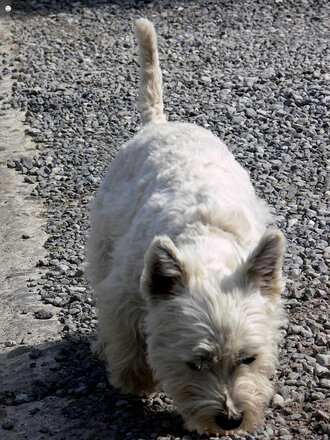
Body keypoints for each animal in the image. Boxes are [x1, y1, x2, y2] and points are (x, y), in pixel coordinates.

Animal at [86, 18, 284, 434]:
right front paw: (133, 378)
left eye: (249, 358)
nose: (231, 419)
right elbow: (127, 336)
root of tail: (159, 123)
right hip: (104, 238)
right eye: (196, 362)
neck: (205, 241)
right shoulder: (124, 292)